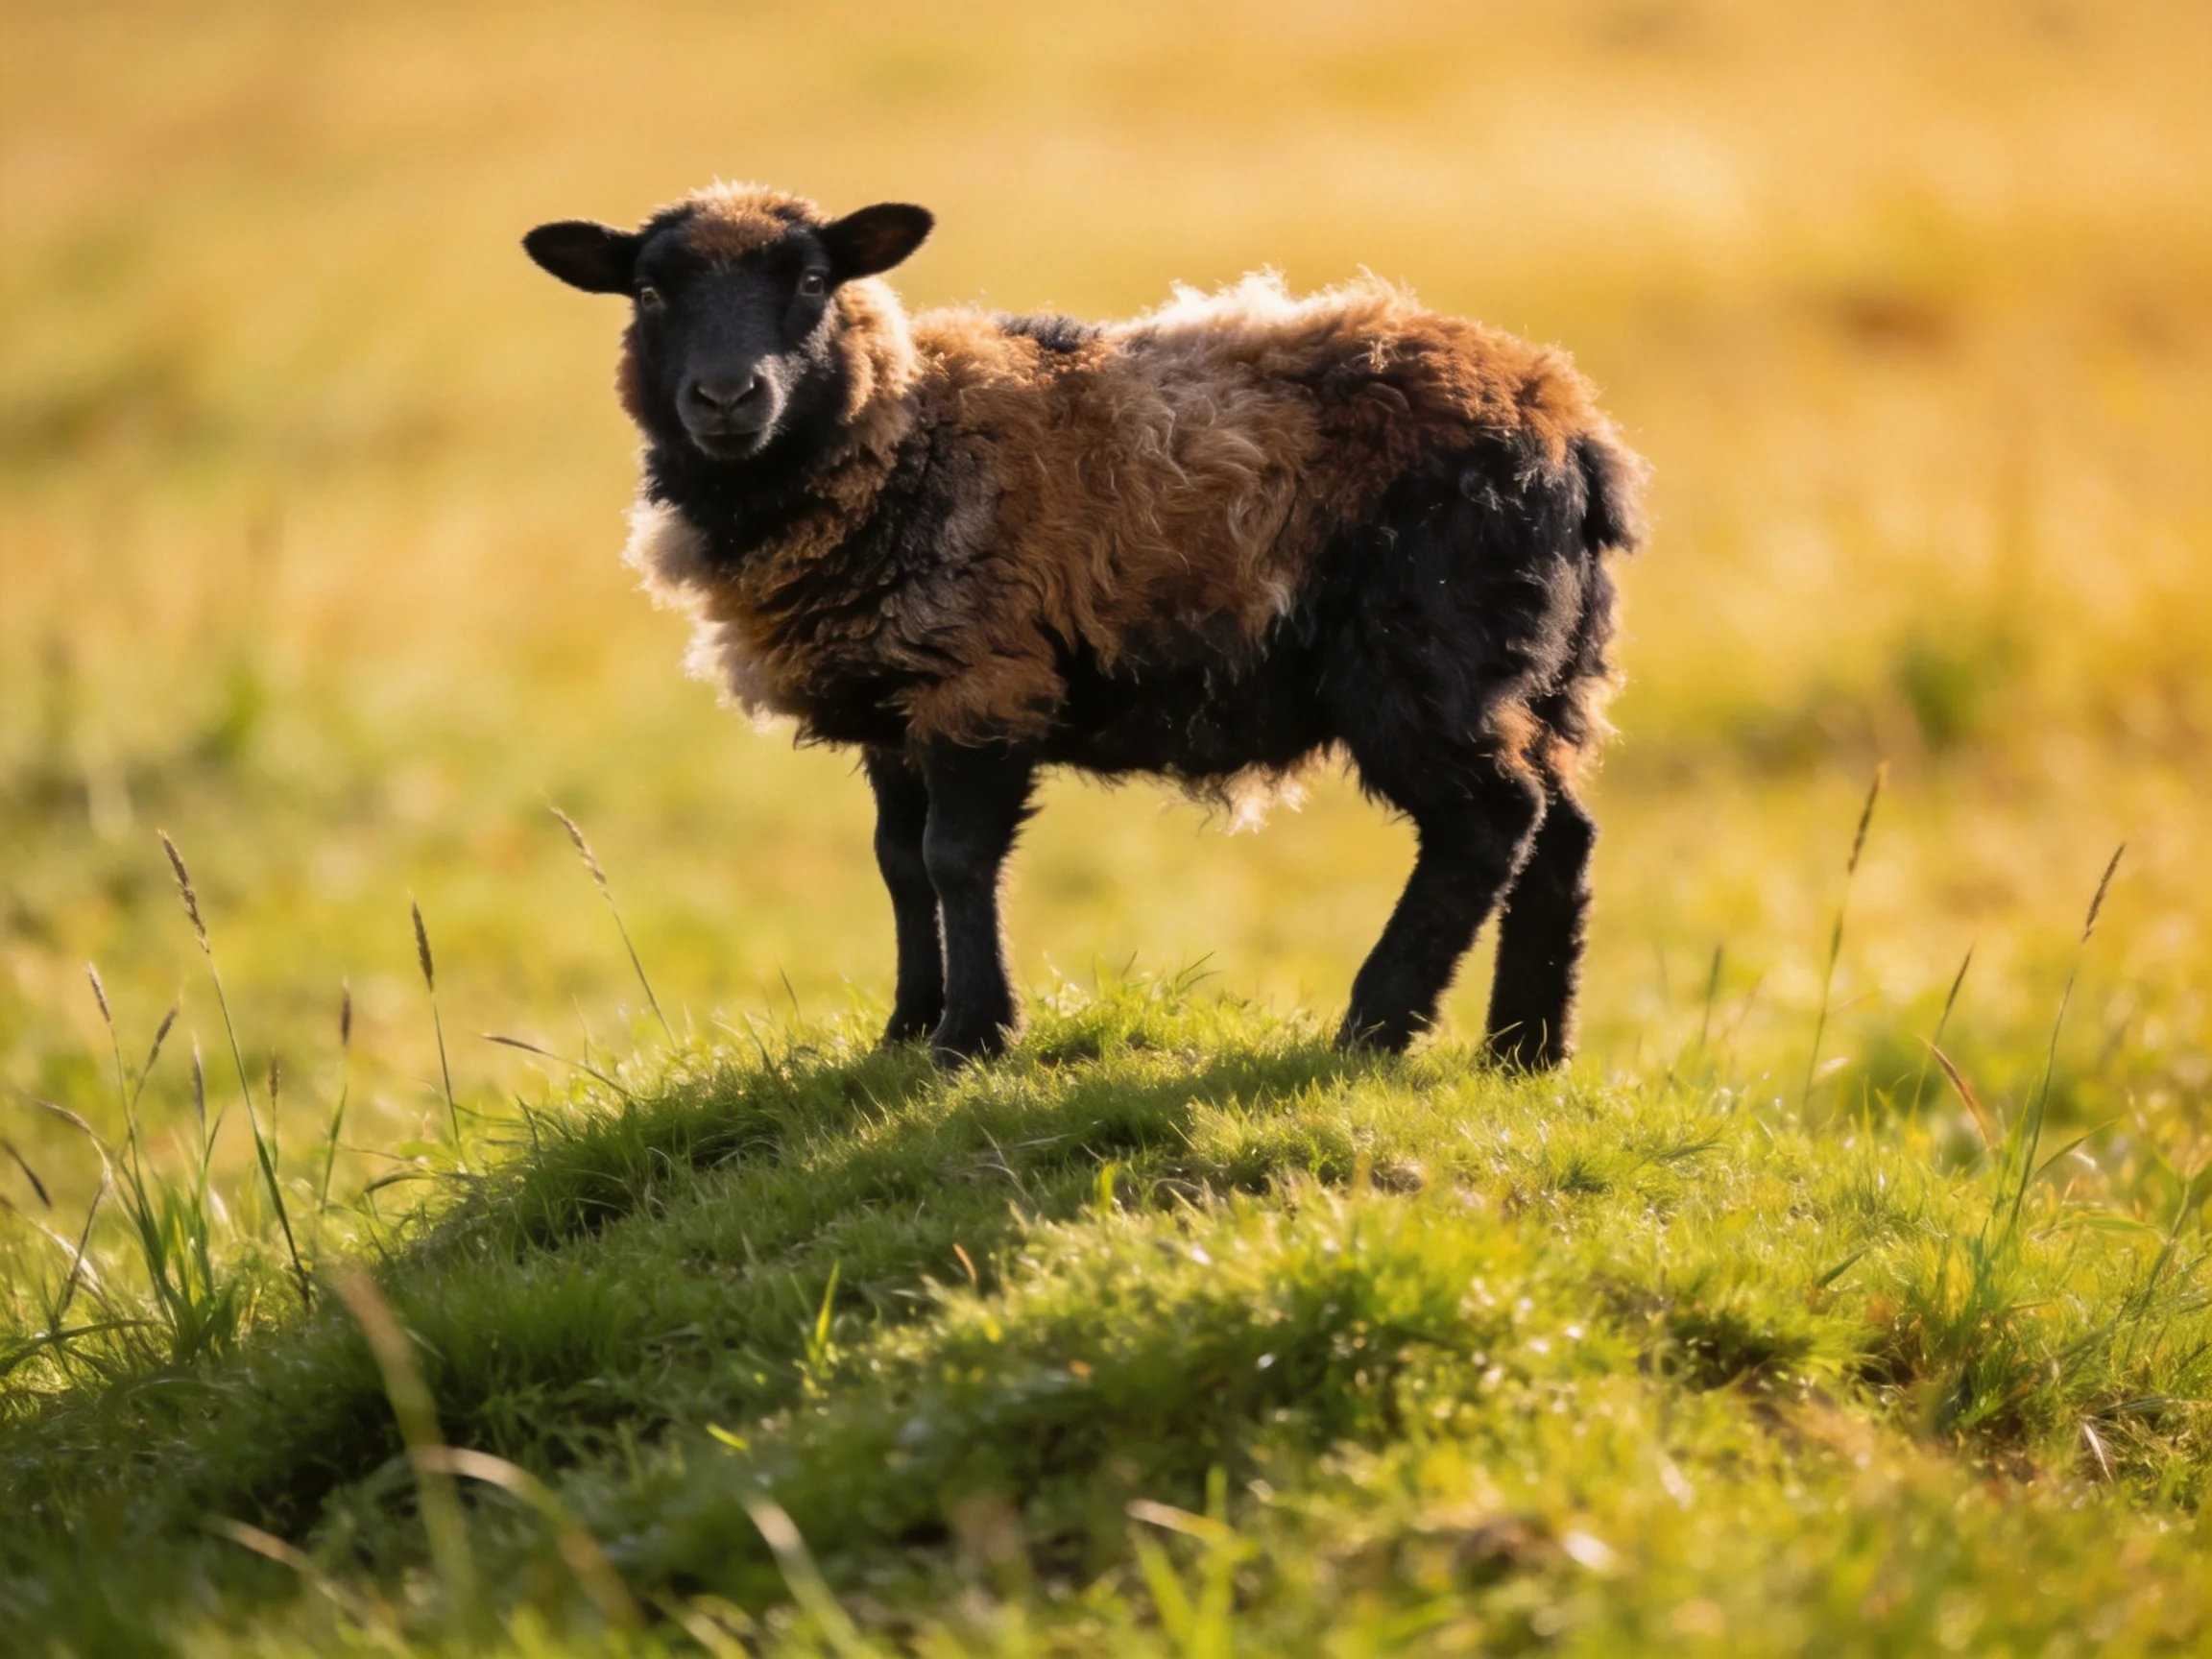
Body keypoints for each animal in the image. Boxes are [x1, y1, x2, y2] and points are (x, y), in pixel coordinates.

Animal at [523, 183, 1646, 1066]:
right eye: (651, 291)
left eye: (810, 281)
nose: (726, 396)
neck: (904, 436)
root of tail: (1572, 429)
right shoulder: (894, 697)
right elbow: (898, 864)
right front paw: (904, 1029)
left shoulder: (979, 675)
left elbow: (954, 859)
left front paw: (971, 1037)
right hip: (1541, 669)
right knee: (1560, 831)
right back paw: (1523, 1053)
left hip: (1426, 654)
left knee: (1488, 822)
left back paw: (1373, 1029)